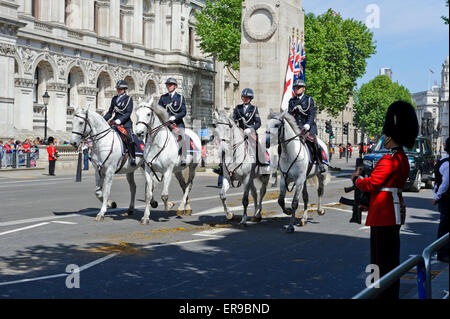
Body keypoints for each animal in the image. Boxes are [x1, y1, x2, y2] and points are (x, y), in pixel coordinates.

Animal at [134, 97, 200, 225]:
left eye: (148, 114)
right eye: (137, 114)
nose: (139, 133)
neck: (156, 143)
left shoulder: (168, 171)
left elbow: (164, 195)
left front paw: (168, 206)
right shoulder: (148, 170)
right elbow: (148, 194)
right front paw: (145, 217)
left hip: (192, 167)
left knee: (188, 186)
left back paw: (181, 207)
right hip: (178, 170)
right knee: (183, 185)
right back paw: (186, 208)